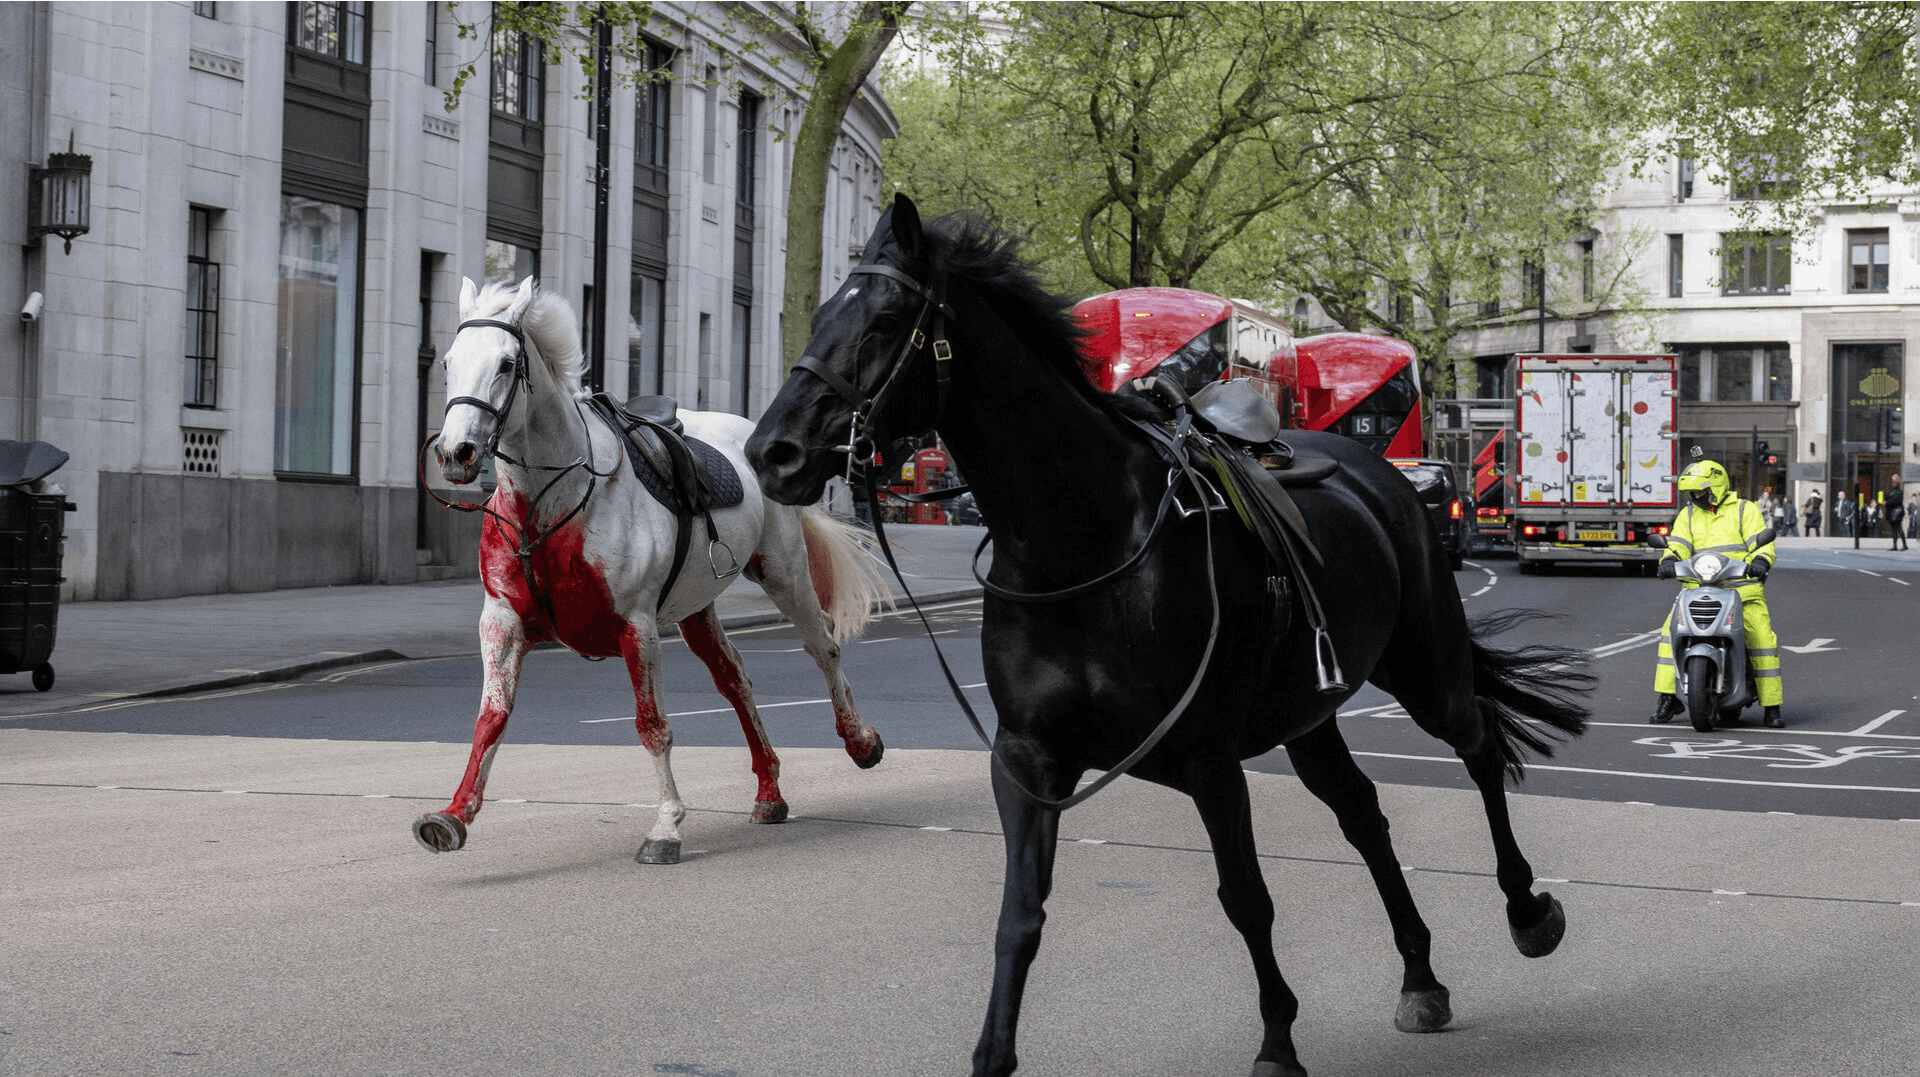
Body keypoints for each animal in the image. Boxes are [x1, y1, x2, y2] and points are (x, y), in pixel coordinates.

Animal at [420, 278, 883, 863]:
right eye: (448, 363)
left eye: (506, 363)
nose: (455, 453)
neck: (548, 503)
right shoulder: (501, 623)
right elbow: (491, 718)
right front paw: (453, 815)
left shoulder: (636, 627)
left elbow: (653, 726)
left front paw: (665, 826)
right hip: (696, 607)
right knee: (735, 678)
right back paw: (770, 792)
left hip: (782, 571)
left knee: (822, 646)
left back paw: (860, 740)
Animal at [741, 192, 1597, 1075]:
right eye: (819, 316)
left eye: (883, 321)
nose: (772, 452)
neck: (1080, 541)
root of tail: (1382, 474)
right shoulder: (1028, 760)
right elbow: (1020, 915)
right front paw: (992, 1054)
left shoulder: (1208, 758)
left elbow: (1246, 897)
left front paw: (1278, 1041)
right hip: (1308, 715)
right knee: (1363, 812)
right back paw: (1420, 973)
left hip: (1424, 668)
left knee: (1479, 744)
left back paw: (1526, 909)